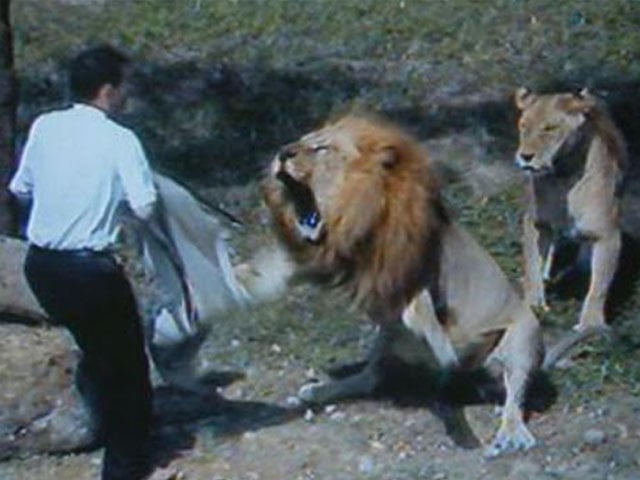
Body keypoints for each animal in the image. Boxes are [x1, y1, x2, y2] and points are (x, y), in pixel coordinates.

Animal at [258, 114, 544, 456]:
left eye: (320, 148)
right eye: (300, 143)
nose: (282, 153)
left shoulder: (424, 271)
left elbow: (420, 308)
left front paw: (442, 346)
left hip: (524, 334)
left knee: (514, 394)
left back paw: (509, 430)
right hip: (386, 339)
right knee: (371, 378)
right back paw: (319, 391)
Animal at [516, 88, 624, 332]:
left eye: (549, 128)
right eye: (523, 126)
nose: (525, 156)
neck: (562, 178)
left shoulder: (608, 235)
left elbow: (599, 286)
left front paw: (591, 325)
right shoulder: (536, 224)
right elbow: (532, 266)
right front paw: (534, 306)